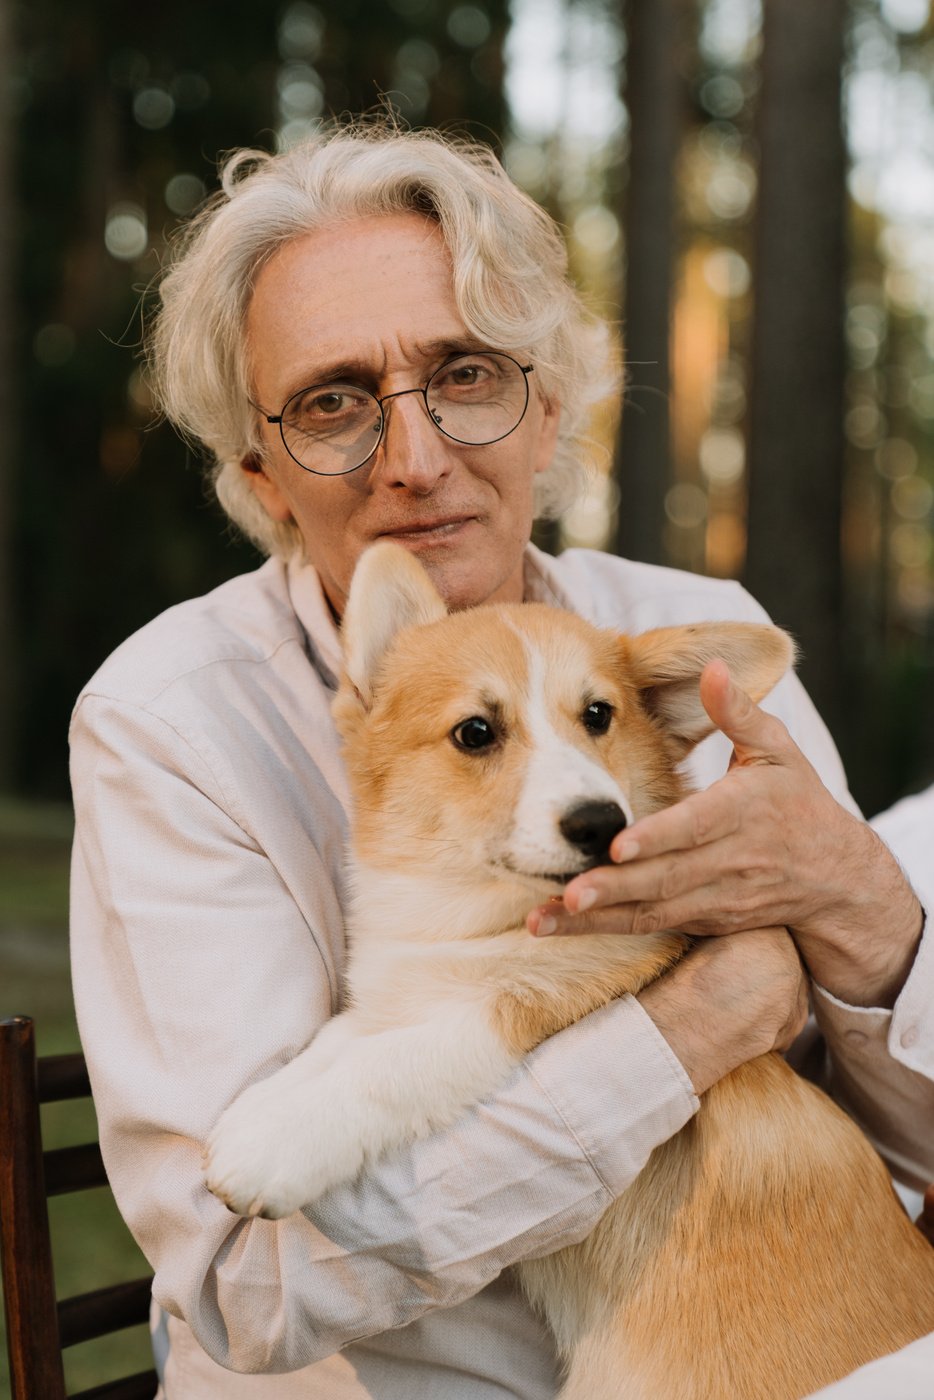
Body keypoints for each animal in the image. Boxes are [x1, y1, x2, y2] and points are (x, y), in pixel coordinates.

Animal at [208, 540, 934, 1394]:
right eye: (476, 732)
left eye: (598, 716)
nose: (600, 824)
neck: (479, 915)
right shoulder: (401, 994)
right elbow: (339, 1044)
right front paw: (262, 1110)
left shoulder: (523, 1005)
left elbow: (391, 1065)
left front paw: (267, 1150)